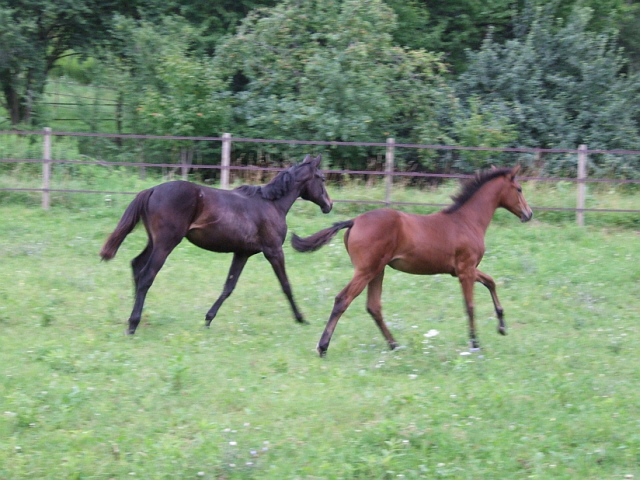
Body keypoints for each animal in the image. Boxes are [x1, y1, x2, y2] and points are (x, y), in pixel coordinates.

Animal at [102, 154, 332, 334]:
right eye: (321, 178)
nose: (329, 205)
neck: (272, 204)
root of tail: (152, 190)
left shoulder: (242, 253)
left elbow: (229, 286)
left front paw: (208, 319)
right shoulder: (274, 251)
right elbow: (286, 285)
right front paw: (301, 318)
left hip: (154, 242)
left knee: (136, 265)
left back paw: (135, 318)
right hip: (165, 244)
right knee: (146, 276)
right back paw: (133, 324)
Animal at [292, 165, 532, 356]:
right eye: (519, 189)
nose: (528, 214)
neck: (467, 221)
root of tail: (354, 221)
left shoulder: (464, 269)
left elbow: (491, 282)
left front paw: (502, 326)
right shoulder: (466, 270)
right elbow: (470, 305)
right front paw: (475, 343)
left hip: (377, 270)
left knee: (373, 306)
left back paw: (394, 345)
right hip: (366, 270)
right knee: (343, 300)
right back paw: (323, 347)